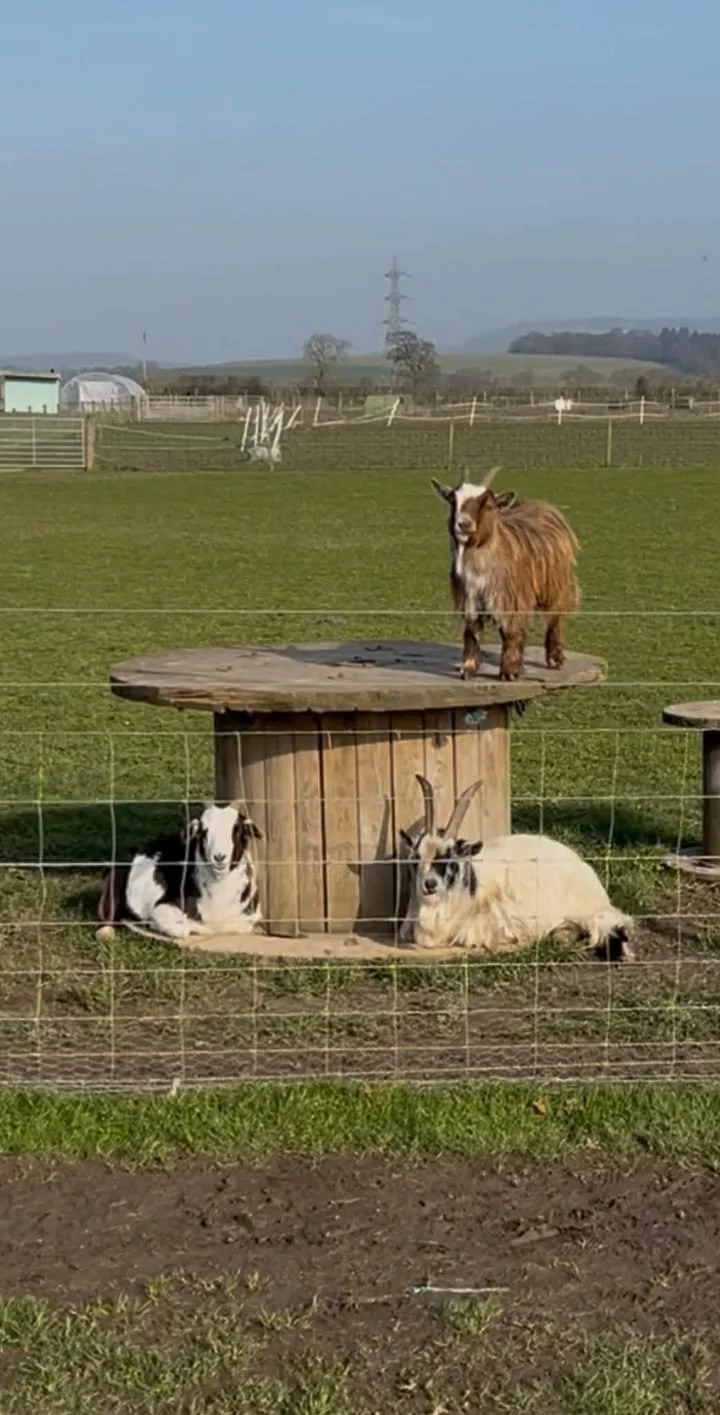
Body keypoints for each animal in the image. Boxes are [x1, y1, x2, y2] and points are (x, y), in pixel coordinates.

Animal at [97, 802, 263, 942]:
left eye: (237, 831)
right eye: (203, 832)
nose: (219, 857)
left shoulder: (250, 917)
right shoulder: (161, 907)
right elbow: (182, 929)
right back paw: (106, 932)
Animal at [431, 465, 580, 681]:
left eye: (488, 504)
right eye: (452, 499)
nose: (463, 524)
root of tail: (540, 505)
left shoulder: (511, 597)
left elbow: (510, 631)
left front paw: (509, 672)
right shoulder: (470, 597)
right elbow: (471, 631)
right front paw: (468, 669)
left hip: (556, 584)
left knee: (555, 616)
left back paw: (555, 659)